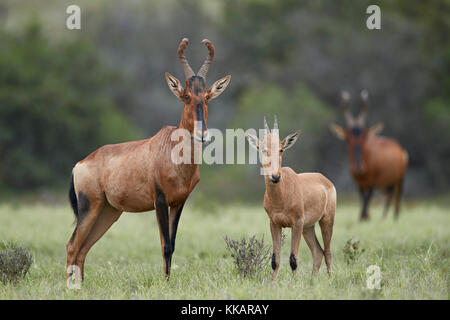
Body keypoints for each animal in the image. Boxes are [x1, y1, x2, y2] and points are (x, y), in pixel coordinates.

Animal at [67, 37, 232, 288]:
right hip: (89, 207)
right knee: (72, 245)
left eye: (206, 97)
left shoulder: (179, 203)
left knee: (83, 248)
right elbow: (165, 245)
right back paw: (69, 287)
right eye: (186, 96)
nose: (202, 135)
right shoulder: (160, 201)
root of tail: (80, 163)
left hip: (108, 212)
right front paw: (165, 283)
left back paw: (80, 286)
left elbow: (172, 244)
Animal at [244, 117, 336, 280]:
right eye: (263, 149)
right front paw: (273, 283)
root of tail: (325, 180)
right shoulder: (274, 224)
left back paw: (330, 281)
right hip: (308, 227)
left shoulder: (297, 223)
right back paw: (312, 281)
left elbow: (293, 259)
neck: (281, 196)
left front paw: (295, 283)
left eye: (281, 149)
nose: (275, 176)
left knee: (328, 253)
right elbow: (275, 260)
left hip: (326, 220)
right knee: (318, 252)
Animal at [330, 90, 408, 220]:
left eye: (364, 137)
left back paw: (392, 218)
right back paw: (384, 218)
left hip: (398, 180)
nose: (359, 167)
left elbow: (368, 198)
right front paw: (365, 217)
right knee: (390, 196)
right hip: (387, 185)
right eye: (348, 139)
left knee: (396, 198)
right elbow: (363, 197)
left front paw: (364, 217)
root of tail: (400, 149)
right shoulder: (359, 183)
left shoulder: (373, 181)